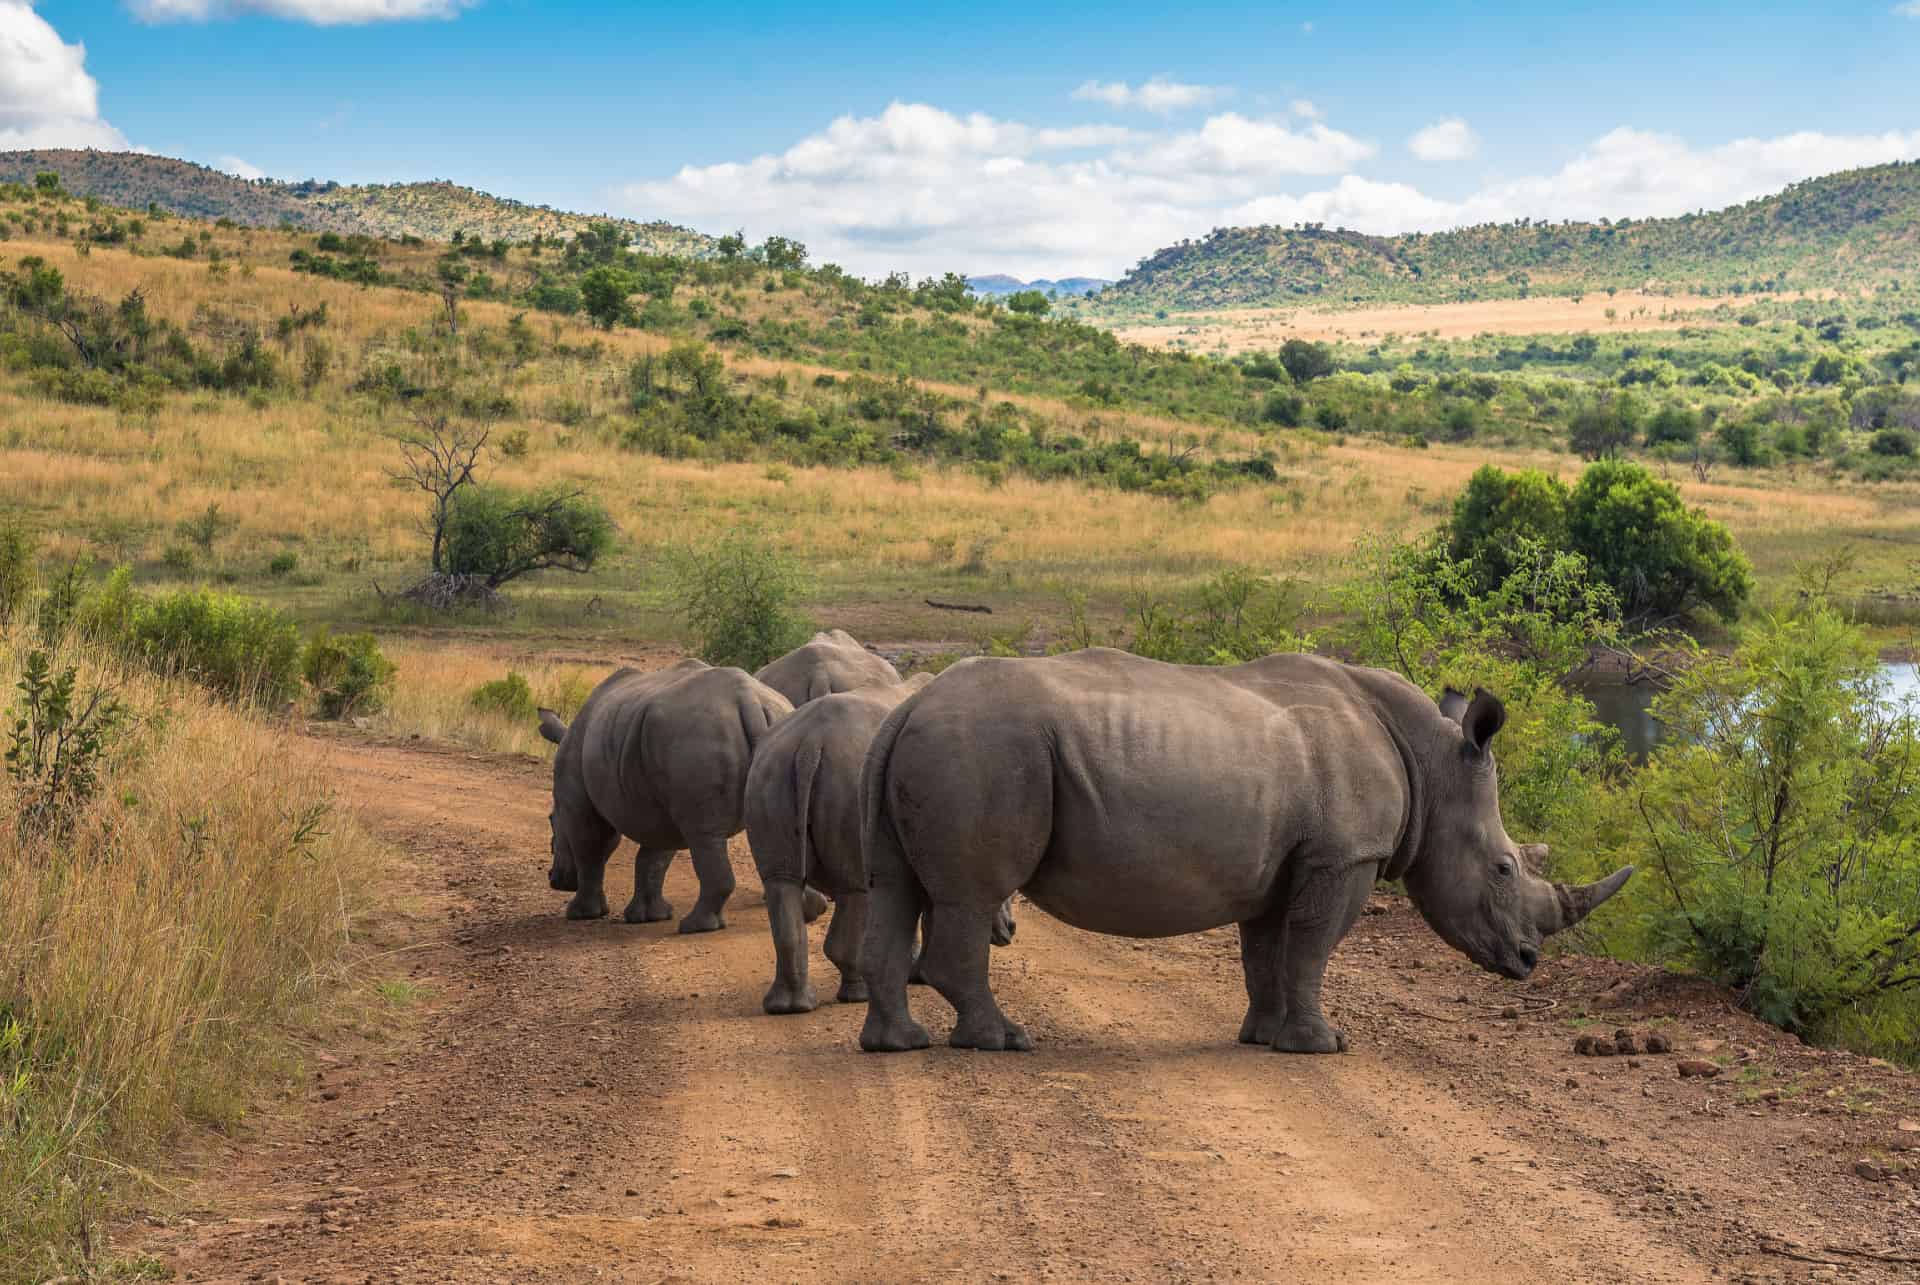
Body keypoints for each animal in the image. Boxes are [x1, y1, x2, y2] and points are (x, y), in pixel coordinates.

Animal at [541, 660, 810, 933]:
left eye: (551, 820)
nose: (555, 879)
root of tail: (750, 701)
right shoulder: (659, 797)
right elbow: (654, 856)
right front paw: (649, 916)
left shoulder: (578, 800)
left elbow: (590, 846)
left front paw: (581, 914)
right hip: (767, 733)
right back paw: (808, 911)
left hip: (698, 737)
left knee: (703, 835)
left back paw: (694, 926)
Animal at [864, 653, 1628, 1052]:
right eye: (1504, 867)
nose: (1528, 962)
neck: (1433, 763)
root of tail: (908, 707)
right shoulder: (1344, 856)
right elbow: (1313, 947)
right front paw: (1323, 1045)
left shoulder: (1282, 862)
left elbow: (1266, 951)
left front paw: (1262, 1037)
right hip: (985, 751)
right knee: (972, 896)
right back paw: (1004, 1040)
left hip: (944, 748)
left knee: (894, 891)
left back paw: (898, 1044)